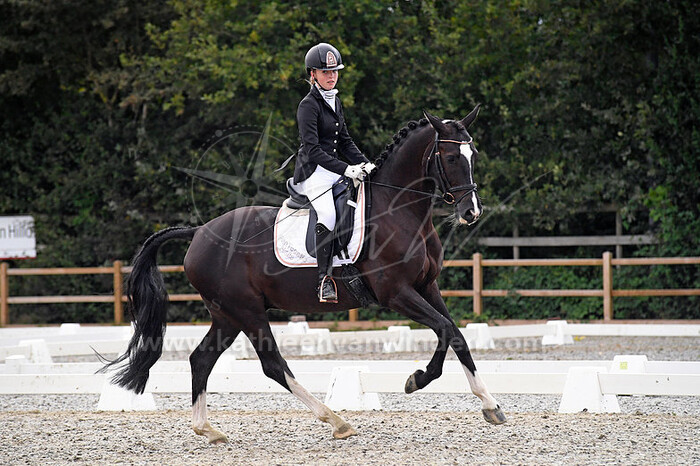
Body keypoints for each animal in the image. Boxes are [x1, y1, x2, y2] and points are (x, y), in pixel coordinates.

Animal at [101, 105, 506, 444]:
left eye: (472, 157)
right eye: (451, 157)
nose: (471, 211)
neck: (399, 210)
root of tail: (199, 231)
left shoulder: (427, 286)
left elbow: (455, 334)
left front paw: (490, 405)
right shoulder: (396, 293)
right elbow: (445, 329)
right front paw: (416, 380)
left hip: (226, 314)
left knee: (201, 359)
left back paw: (208, 430)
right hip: (247, 310)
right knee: (273, 364)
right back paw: (336, 421)